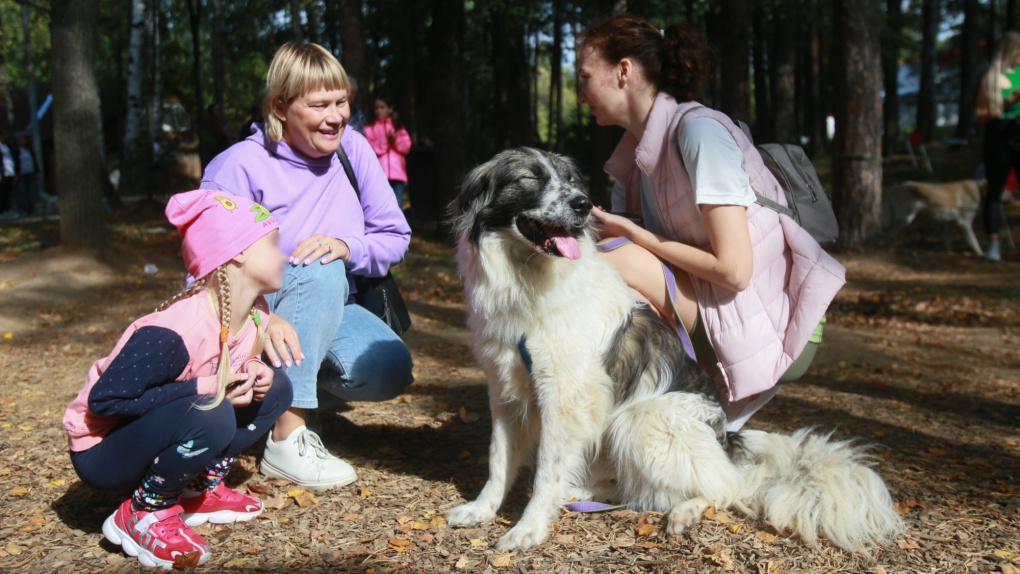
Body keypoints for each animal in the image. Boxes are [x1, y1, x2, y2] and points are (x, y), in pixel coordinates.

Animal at [446, 146, 901, 550]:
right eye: (531, 178)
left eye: (571, 180)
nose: (584, 204)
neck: (527, 282)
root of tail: (726, 438)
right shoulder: (505, 388)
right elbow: (499, 458)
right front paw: (482, 509)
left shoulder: (565, 396)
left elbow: (546, 469)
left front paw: (528, 528)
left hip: (644, 418)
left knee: (728, 487)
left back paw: (686, 511)